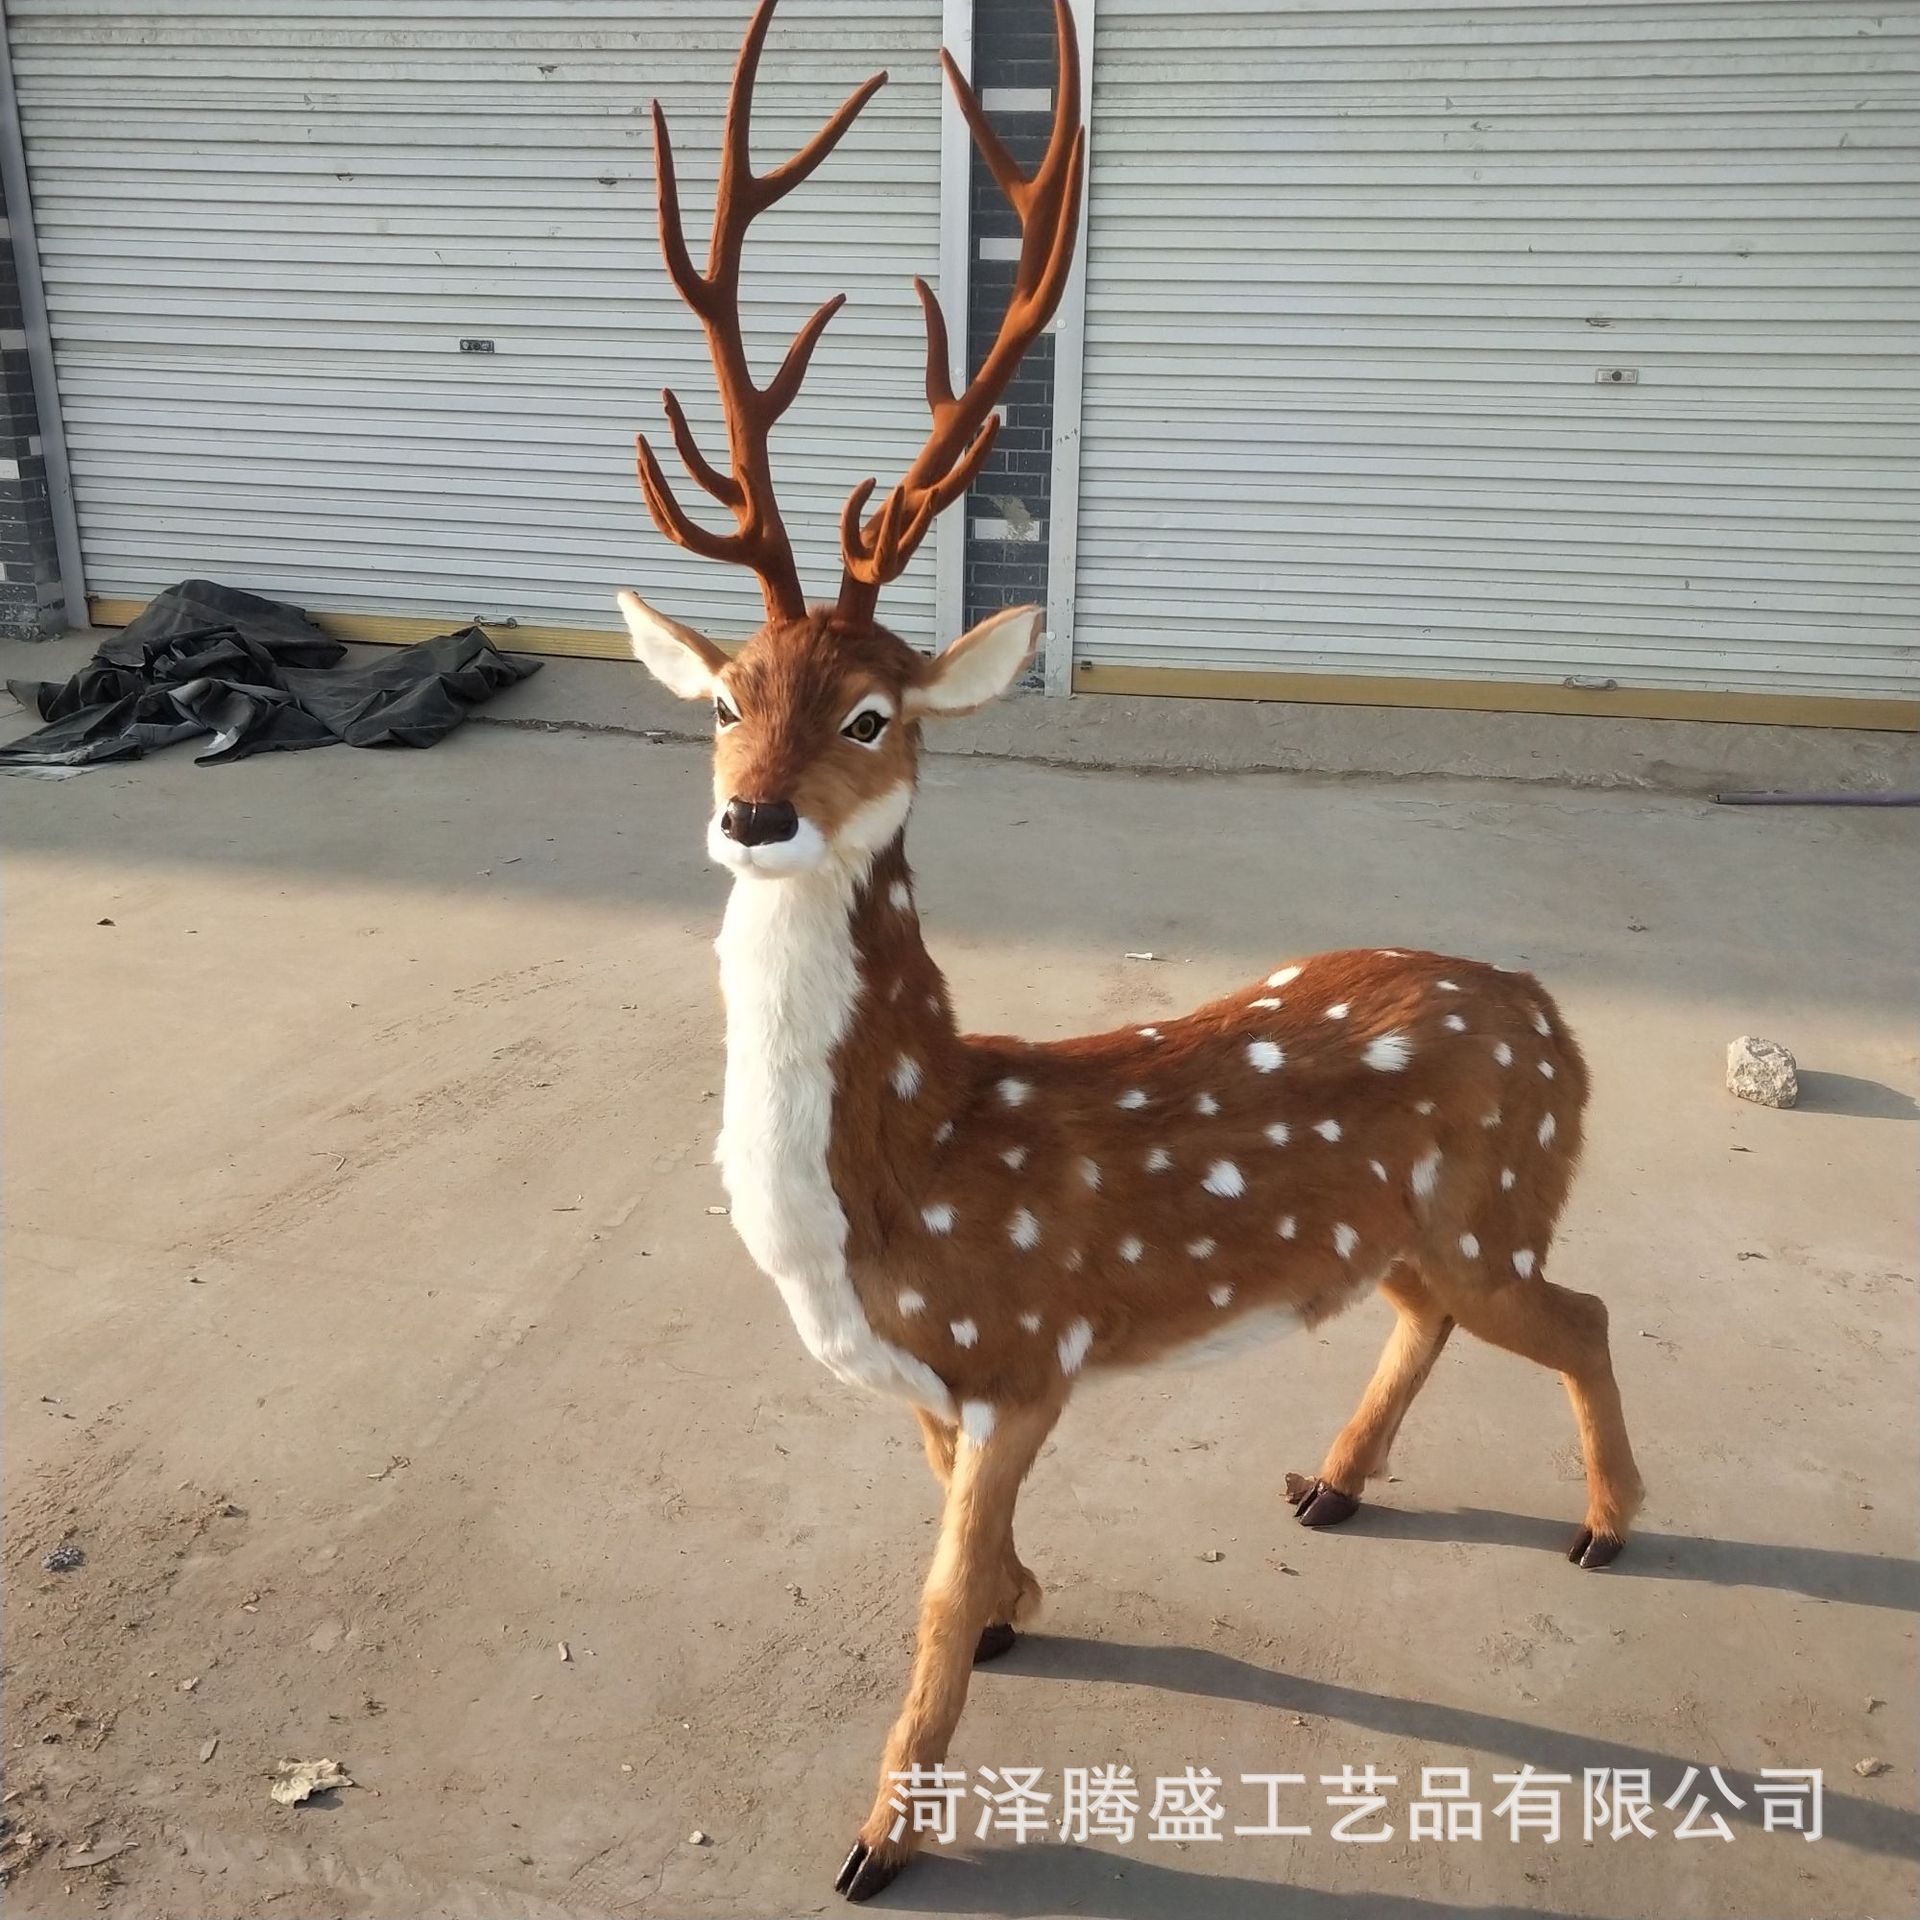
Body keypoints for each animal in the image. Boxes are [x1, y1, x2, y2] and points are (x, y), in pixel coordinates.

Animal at [612, 0, 1645, 1900]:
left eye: (869, 713)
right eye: (723, 703)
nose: (753, 818)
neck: (903, 1187)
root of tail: (1549, 1007)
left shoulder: (1032, 1345)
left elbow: (933, 1585)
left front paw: (882, 1833)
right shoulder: (938, 1380)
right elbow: (961, 1532)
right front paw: (1025, 1610)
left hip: (1494, 1205)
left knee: (1582, 1308)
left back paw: (1611, 1530)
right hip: (1417, 1224)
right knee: (1435, 1316)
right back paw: (1329, 1482)